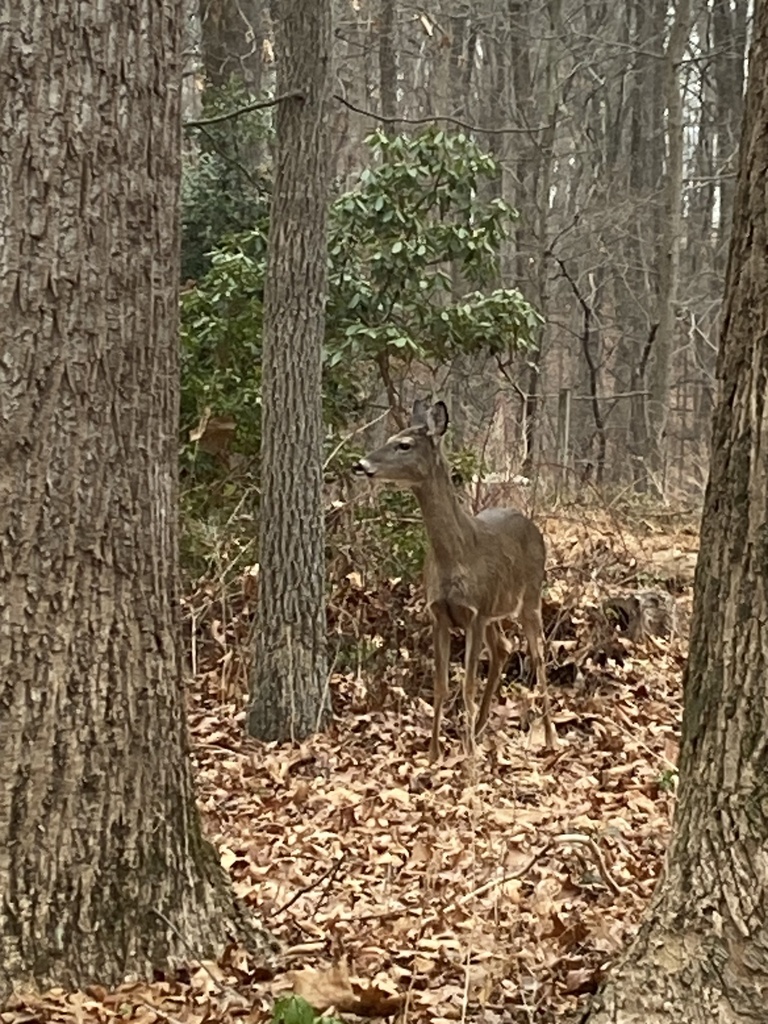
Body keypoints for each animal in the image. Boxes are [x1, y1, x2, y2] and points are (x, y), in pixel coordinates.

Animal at [352, 399, 557, 761]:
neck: (454, 556)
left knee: (538, 655)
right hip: (493, 611)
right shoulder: (441, 614)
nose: (360, 464)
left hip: (530, 595)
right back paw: (480, 728)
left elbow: (467, 685)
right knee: (503, 648)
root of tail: (532, 526)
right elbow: (442, 684)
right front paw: (435, 754)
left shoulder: (473, 613)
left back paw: (547, 737)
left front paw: (469, 755)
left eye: (404, 445)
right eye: (391, 438)